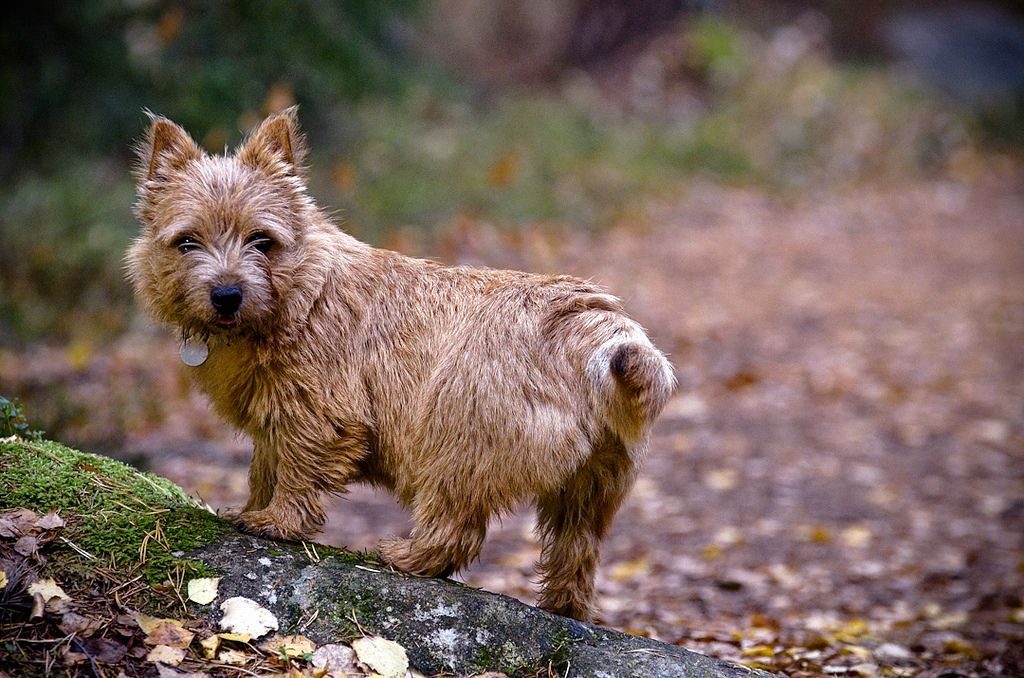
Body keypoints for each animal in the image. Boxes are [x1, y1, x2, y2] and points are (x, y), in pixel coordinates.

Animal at [125, 107, 671, 622]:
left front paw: (276, 522)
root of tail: (596, 328)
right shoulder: (274, 420)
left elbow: (296, 470)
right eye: (187, 241)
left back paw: (402, 556)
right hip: (593, 486)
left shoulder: (318, 412)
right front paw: (252, 507)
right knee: (578, 551)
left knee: (457, 529)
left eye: (262, 239)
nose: (227, 295)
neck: (298, 295)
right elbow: (264, 466)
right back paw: (562, 605)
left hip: (455, 438)